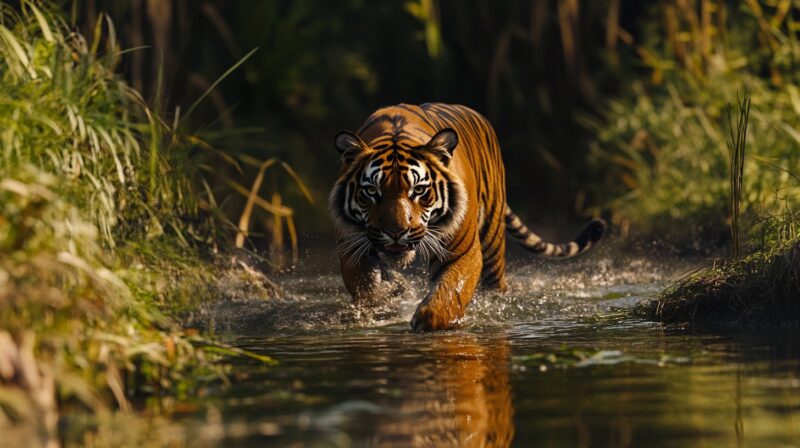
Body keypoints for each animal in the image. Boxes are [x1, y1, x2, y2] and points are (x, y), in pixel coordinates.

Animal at [328, 103, 604, 330]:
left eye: (418, 190)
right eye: (371, 192)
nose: (396, 232)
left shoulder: (461, 251)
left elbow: (450, 291)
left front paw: (429, 320)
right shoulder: (352, 250)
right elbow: (368, 291)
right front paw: (386, 302)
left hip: (492, 240)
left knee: (495, 288)